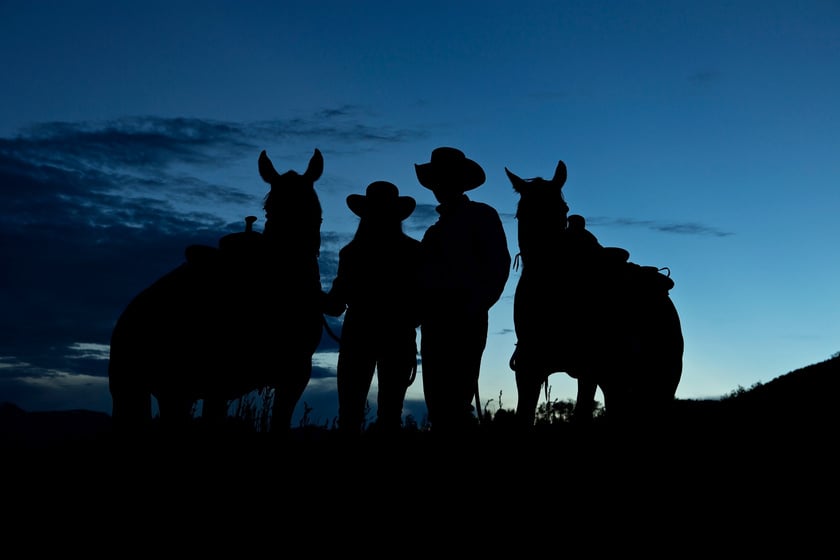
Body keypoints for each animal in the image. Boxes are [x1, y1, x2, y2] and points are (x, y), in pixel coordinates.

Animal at [108, 148, 324, 434]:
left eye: (312, 207)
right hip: (132, 389)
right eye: (269, 209)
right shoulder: (219, 383)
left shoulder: (295, 375)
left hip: (172, 393)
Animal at [506, 160, 684, 430]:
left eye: (563, 209)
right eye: (521, 212)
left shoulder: (588, 371)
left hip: (660, 380)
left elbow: (582, 416)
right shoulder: (530, 369)